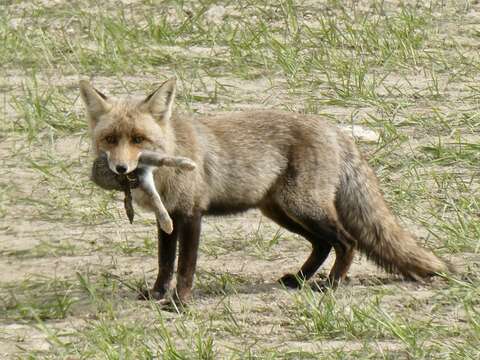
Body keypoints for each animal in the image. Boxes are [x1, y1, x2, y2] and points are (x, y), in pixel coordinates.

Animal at [79, 77, 450, 306]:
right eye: (110, 139)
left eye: (138, 139)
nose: (121, 169)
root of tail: (334, 128)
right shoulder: (167, 217)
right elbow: (164, 262)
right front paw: (158, 294)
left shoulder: (192, 213)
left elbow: (185, 266)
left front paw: (179, 303)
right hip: (281, 211)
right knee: (322, 244)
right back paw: (299, 279)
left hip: (302, 207)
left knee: (346, 242)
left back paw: (331, 284)